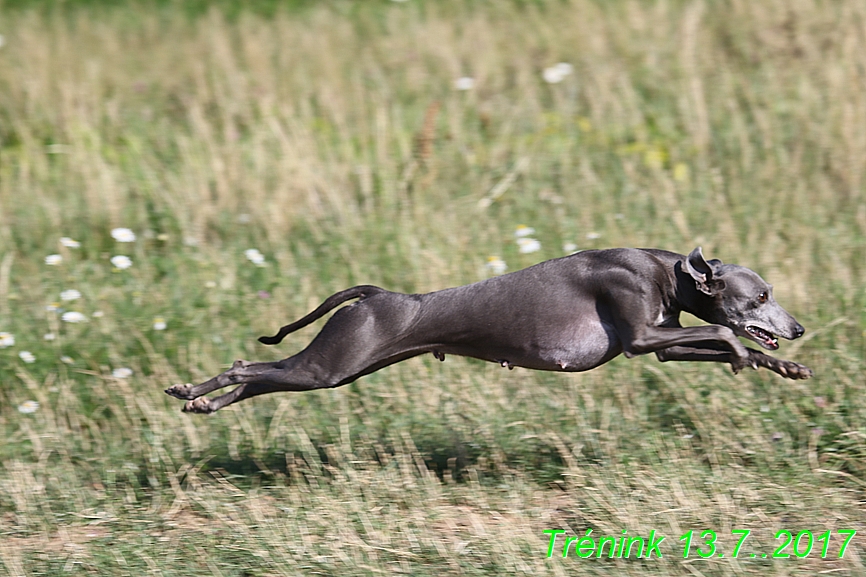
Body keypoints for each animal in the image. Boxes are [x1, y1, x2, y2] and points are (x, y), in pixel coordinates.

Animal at [164, 245, 808, 412]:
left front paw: (783, 364)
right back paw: (191, 390)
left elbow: (720, 343)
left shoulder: (664, 348)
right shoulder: (641, 339)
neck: (663, 271)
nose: (798, 329)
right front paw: (748, 356)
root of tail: (377, 296)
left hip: (342, 367)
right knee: (249, 366)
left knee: (259, 378)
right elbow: (726, 335)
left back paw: (203, 403)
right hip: (331, 364)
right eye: (762, 295)